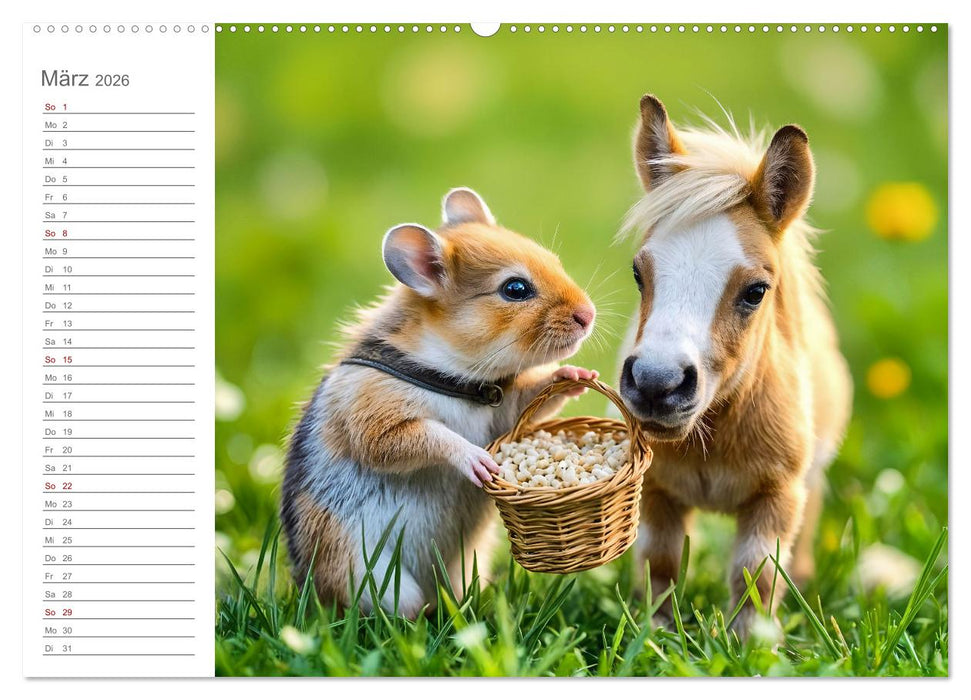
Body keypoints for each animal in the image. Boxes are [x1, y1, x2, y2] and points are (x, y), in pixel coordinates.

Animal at [281, 187, 598, 617]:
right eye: (515, 289)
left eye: (554, 260)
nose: (589, 314)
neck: (459, 378)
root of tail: (308, 589)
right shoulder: (375, 416)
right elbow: (427, 438)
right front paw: (480, 463)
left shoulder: (505, 412)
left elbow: (530, 399)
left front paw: (575, 375)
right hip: (372, 577)